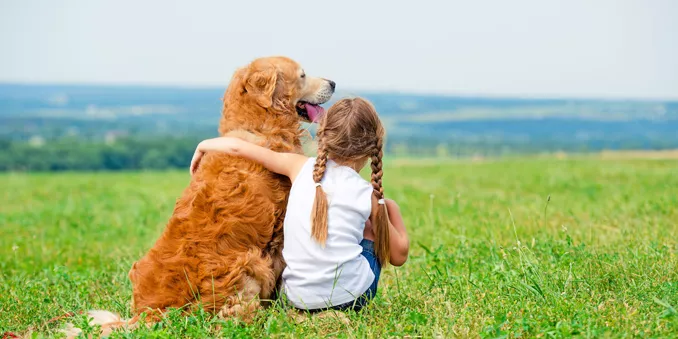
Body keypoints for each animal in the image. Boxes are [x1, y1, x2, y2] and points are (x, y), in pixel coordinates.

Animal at [65, 55, 336, 338]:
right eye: (303, 75)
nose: (333, 83)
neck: (258, 127)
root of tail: (149, 313)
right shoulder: (278, 234)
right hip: (249, 262)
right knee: (239, 318)